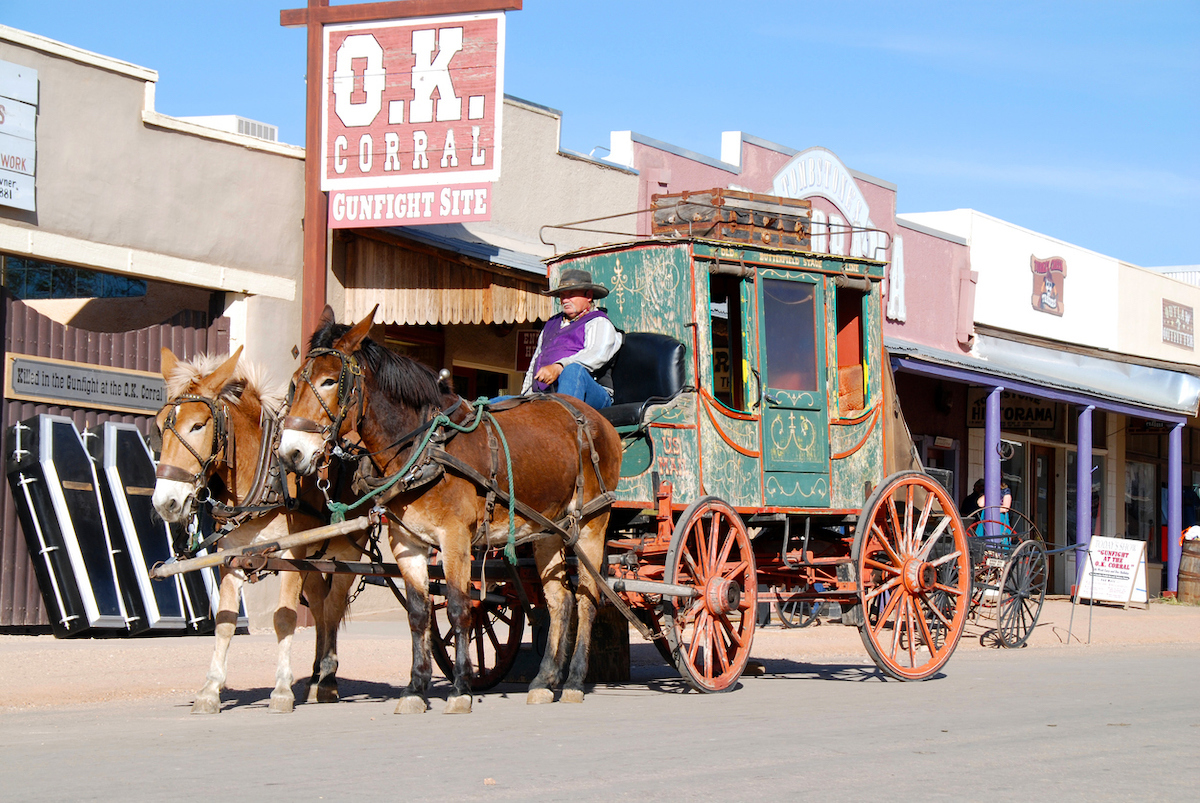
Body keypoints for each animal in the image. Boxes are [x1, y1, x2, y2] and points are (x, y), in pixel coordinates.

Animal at [152, 347, 365, 714]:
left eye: (198, 425)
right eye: (157, 427)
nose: (166, 502)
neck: (265, 476)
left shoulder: (292, 554)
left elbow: (284, 618)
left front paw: (281, 690)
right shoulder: (231, 555)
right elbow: (224, 621)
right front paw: (210, 689)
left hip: (345, 553)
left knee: (334, 607)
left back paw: (327, 680)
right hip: (316, 560)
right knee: (320, 609)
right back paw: (315, 677)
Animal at [277, 306, 622, 714]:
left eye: (331, 381)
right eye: (295, 382)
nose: (291, 453)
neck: (424, 446)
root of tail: (598, 420)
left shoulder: (455, 537)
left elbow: (460, 607)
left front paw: (460, 688)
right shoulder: (406, 541)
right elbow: (418, 612)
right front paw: (415, 687)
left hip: (591, 525)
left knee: (587, 599)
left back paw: (573, 681)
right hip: (549, 531)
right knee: (559, 601)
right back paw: (544, 680)